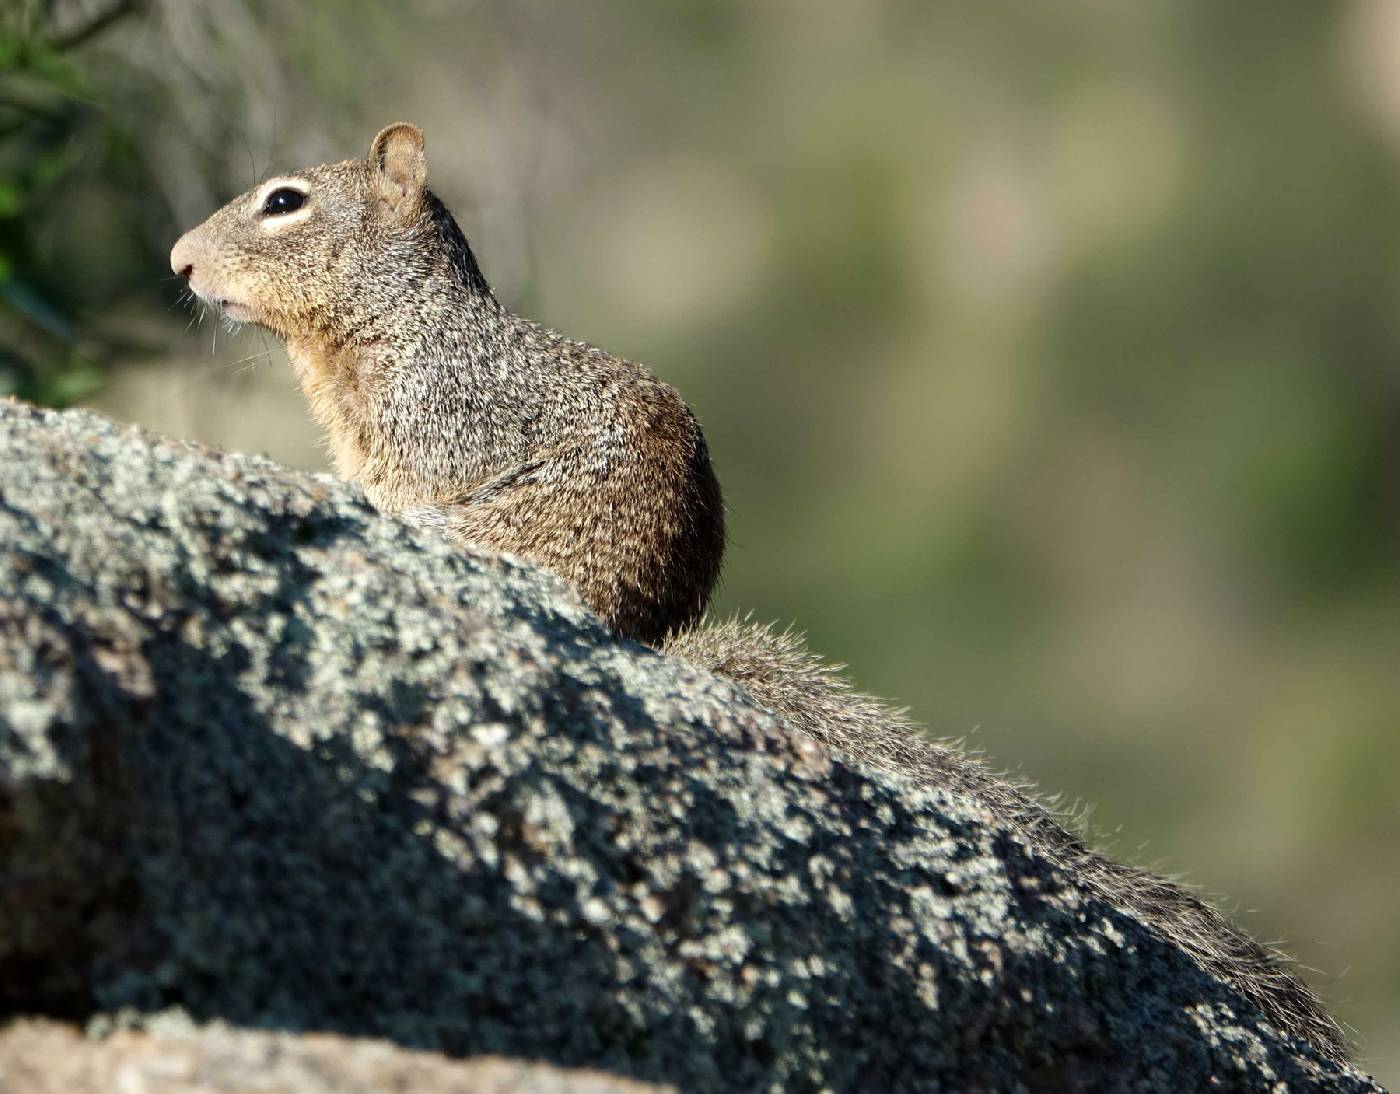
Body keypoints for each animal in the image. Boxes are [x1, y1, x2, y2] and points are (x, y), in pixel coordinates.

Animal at [169, 123, 1349, 1064]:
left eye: (284, 201)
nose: (178, 260)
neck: (392, 326)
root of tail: (648, 637)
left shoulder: (441, 428)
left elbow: (403, 490)